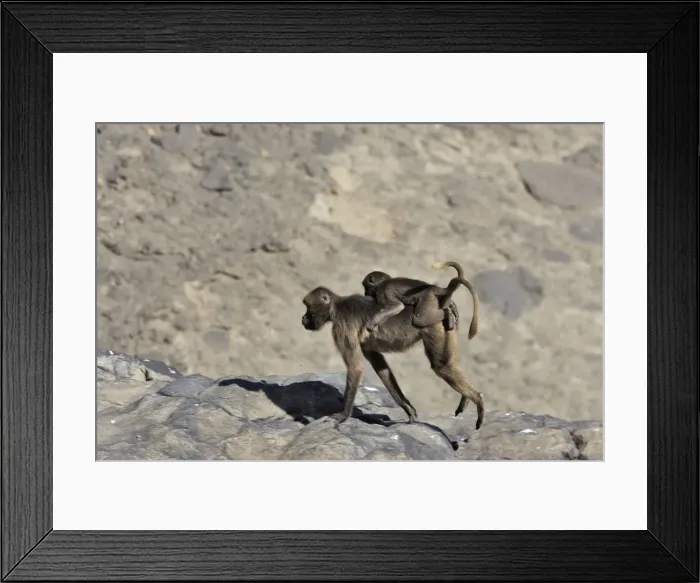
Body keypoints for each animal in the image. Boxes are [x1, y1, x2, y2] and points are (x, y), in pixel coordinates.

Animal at [301, 285, 484, 430]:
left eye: (307, 306)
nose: (303, 318)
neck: (337, 307)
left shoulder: (342, 328)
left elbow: (356, 367)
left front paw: (343, 415)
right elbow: (381, 366)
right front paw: (407, 408)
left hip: (433, 324)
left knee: (441, 365)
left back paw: (478, 399)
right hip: (447, 326)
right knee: (449, 362)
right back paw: (466, 399)